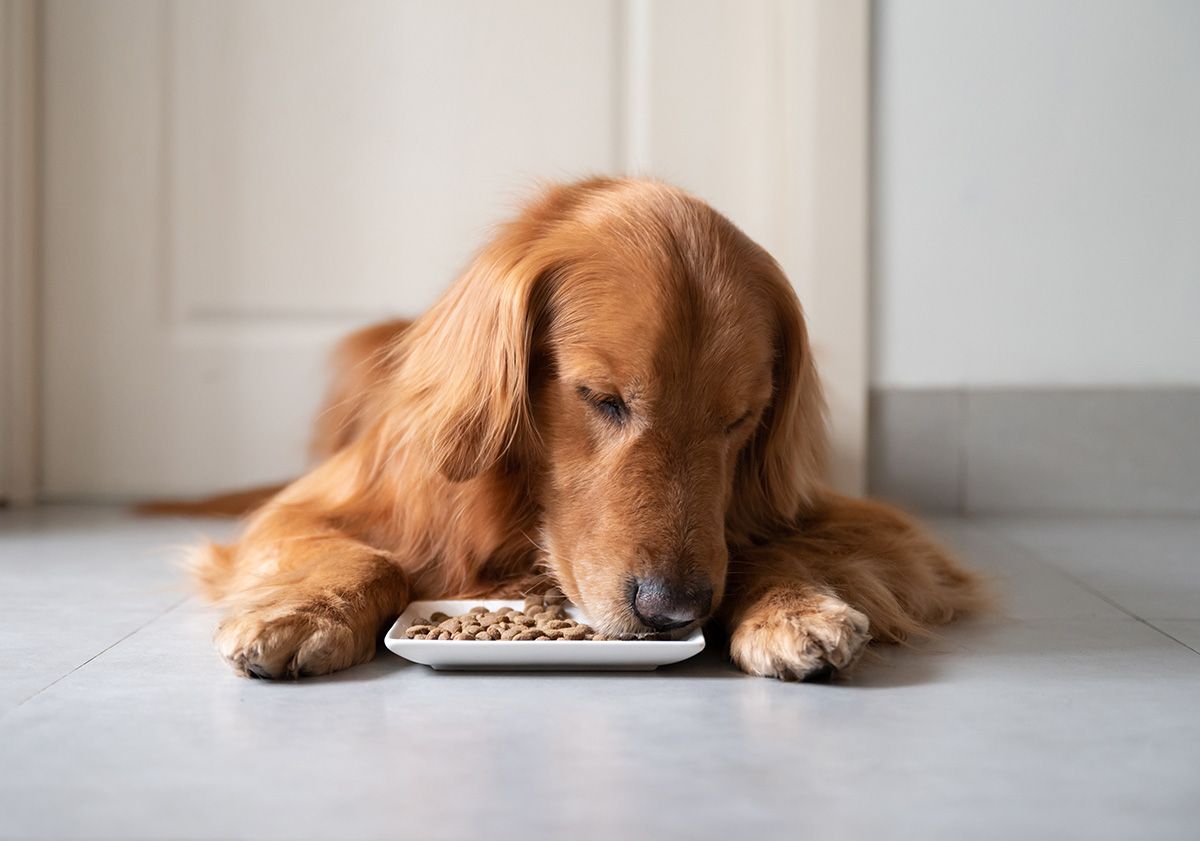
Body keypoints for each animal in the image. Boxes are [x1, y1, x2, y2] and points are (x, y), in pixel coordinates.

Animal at [189, 177, 984, 681]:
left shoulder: (878, 528)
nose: (674, 609)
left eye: (740, 419)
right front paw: (303, 611)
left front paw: (794, 607)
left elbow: (779, 547)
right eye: (602, 398)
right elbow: (370, 556)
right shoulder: (315, 506)